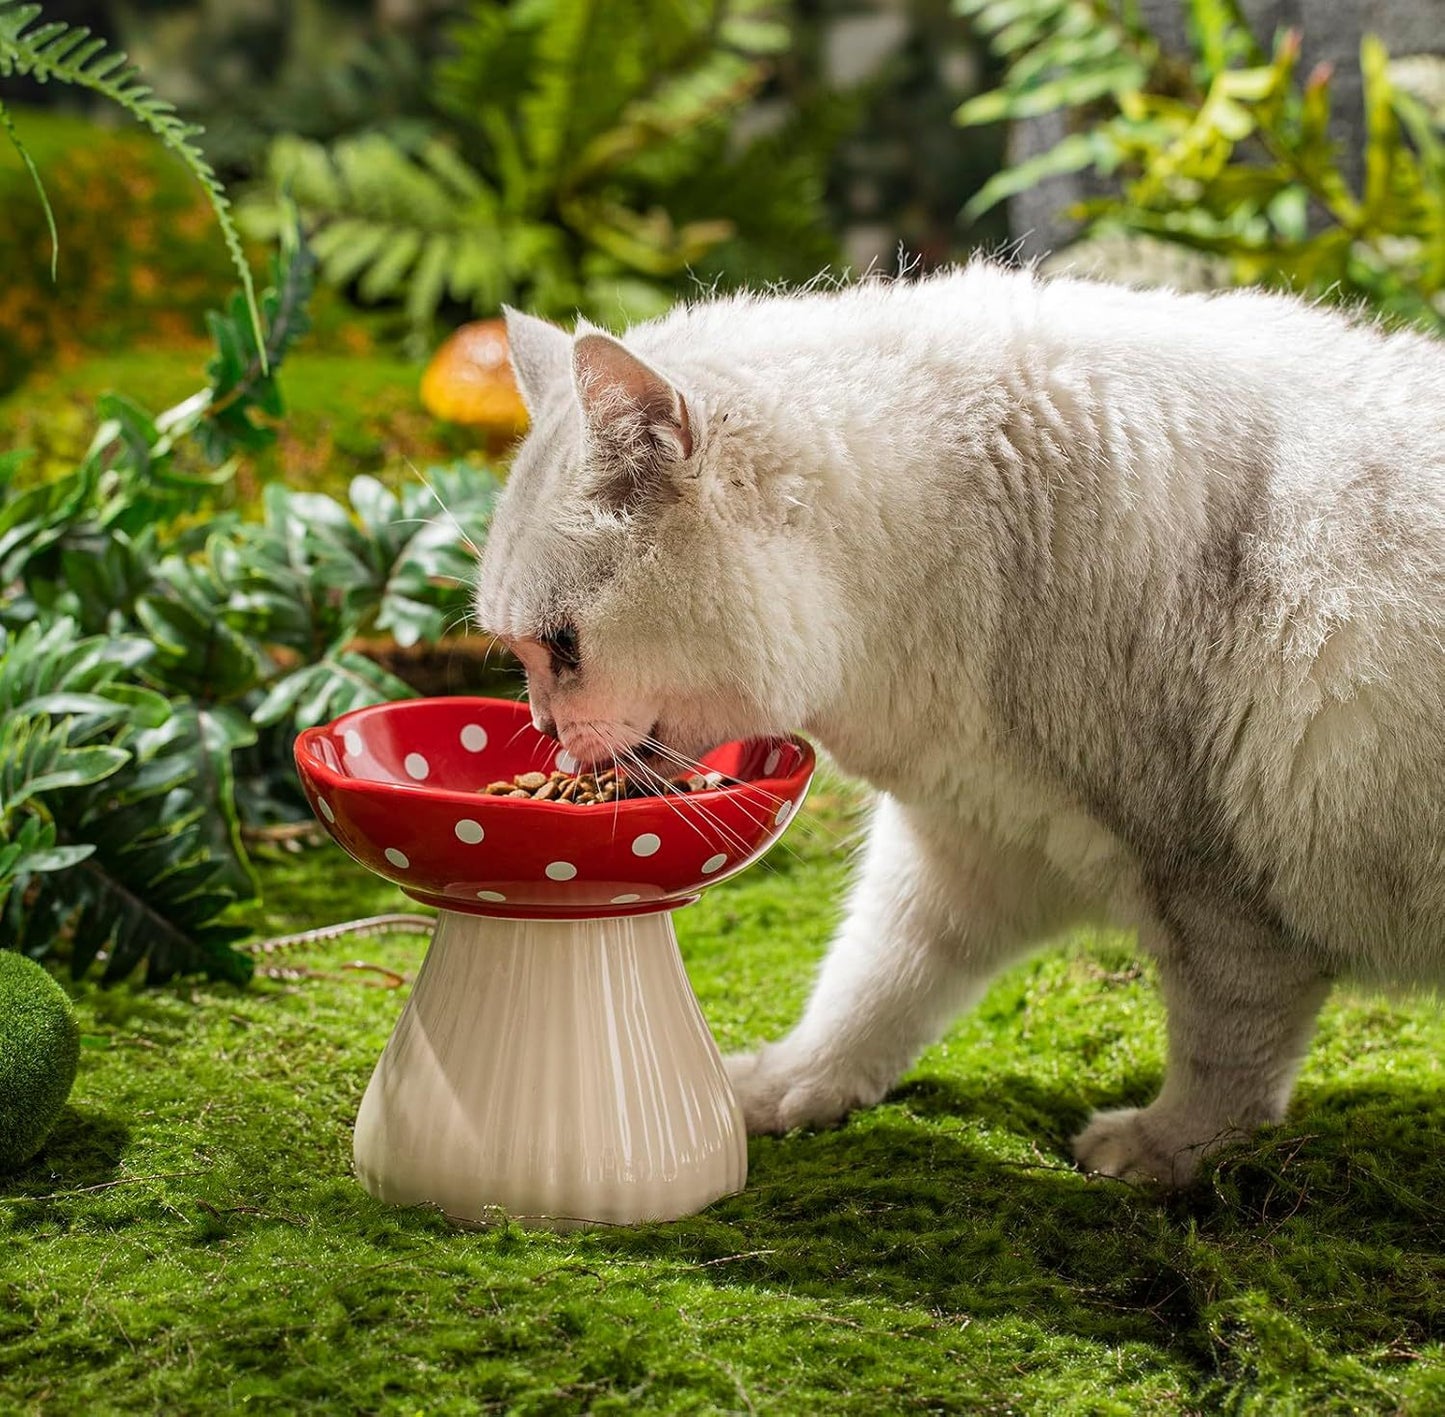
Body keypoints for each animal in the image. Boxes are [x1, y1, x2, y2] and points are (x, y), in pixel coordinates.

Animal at [473, 262, 1445, 1184]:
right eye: (522, 650)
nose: (546, 732)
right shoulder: (964, 841)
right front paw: (788, 1086)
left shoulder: (1216, 893)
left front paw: (1167, 1150)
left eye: (562, 645)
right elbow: (871, 987)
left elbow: (1225, 1057)